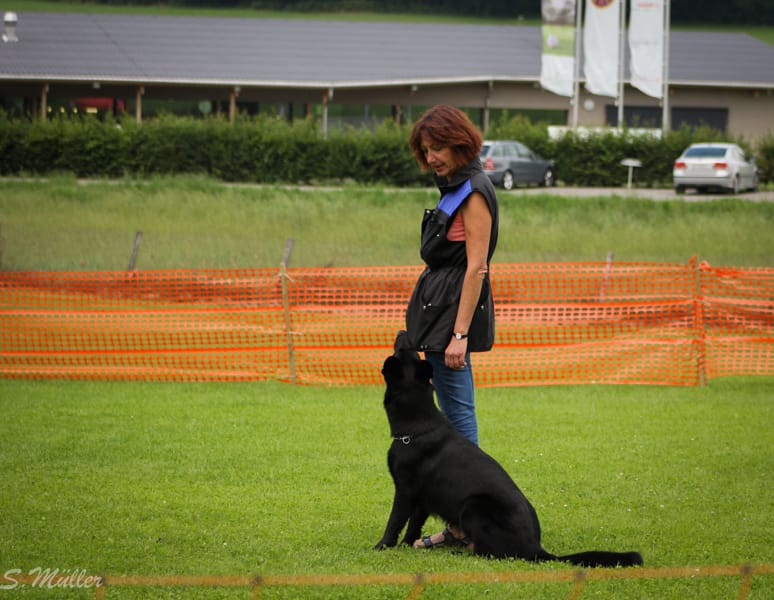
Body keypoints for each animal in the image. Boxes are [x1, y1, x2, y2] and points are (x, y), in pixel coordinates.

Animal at [374, 342, 643, 568]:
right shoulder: (422, 498)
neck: (417, 427)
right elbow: (413, 525)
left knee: (492, 553)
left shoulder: (405, 491)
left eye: (400, 353)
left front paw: (382, 546)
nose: (405, 336)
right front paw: (406, 546)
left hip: (473, 507)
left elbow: (395, 521)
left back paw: (460, 553)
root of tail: (535, 548)